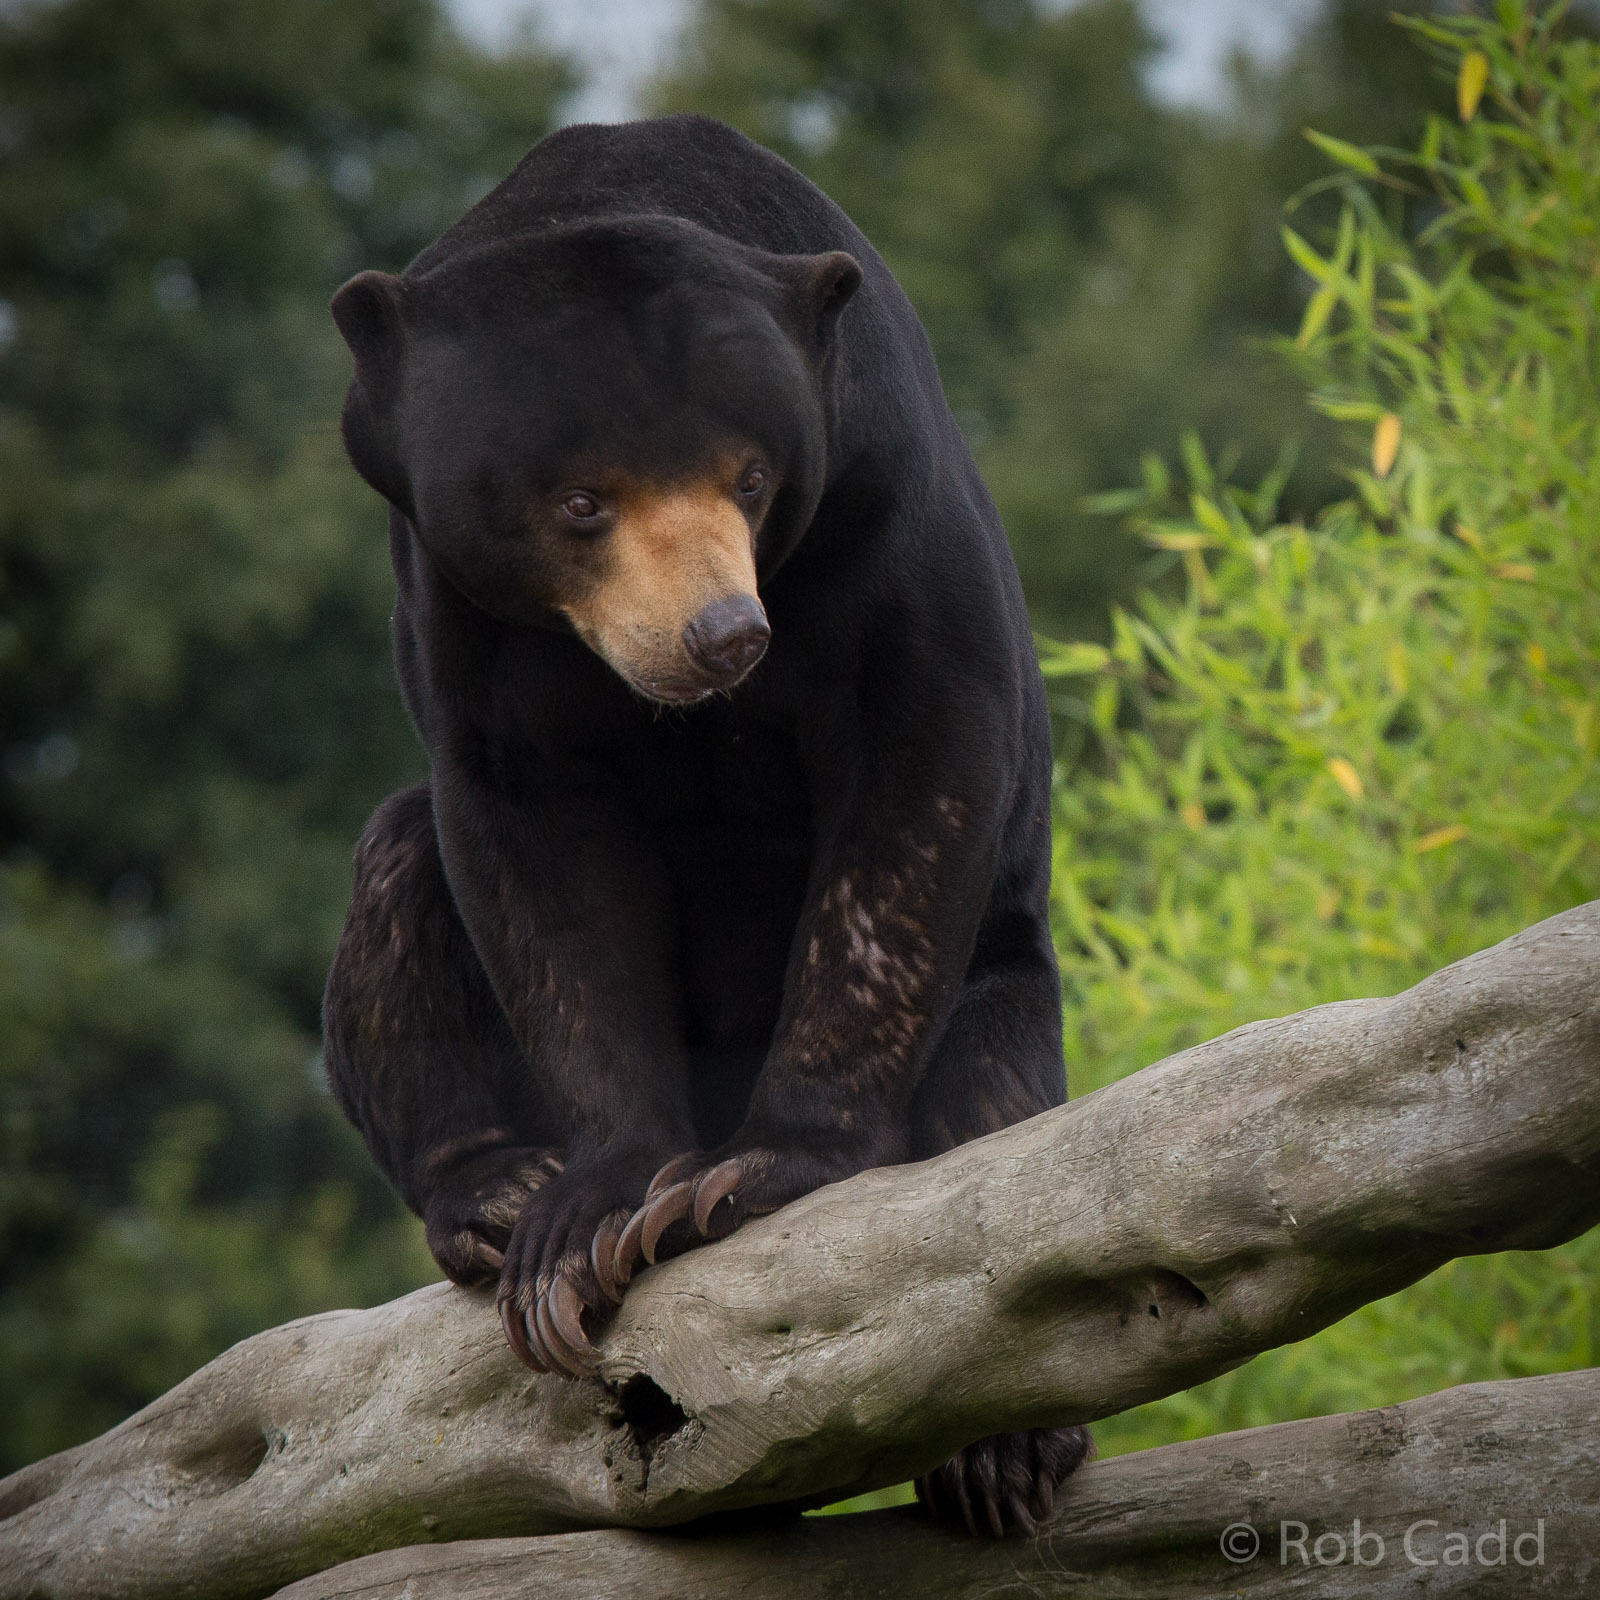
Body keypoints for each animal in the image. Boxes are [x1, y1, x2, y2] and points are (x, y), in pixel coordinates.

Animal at [322, 112, 1091, 1536]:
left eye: (750, 477)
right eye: (580, 501)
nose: (720, 635)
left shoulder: (881, 506)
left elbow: (916, 780)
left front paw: (745, 1174)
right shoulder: (455, 607)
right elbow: (534, 857)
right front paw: (578, 1226)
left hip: (1006, 993)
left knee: (996, 1135)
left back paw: (1000, 1457)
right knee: (398, 870)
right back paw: (493, 1191)